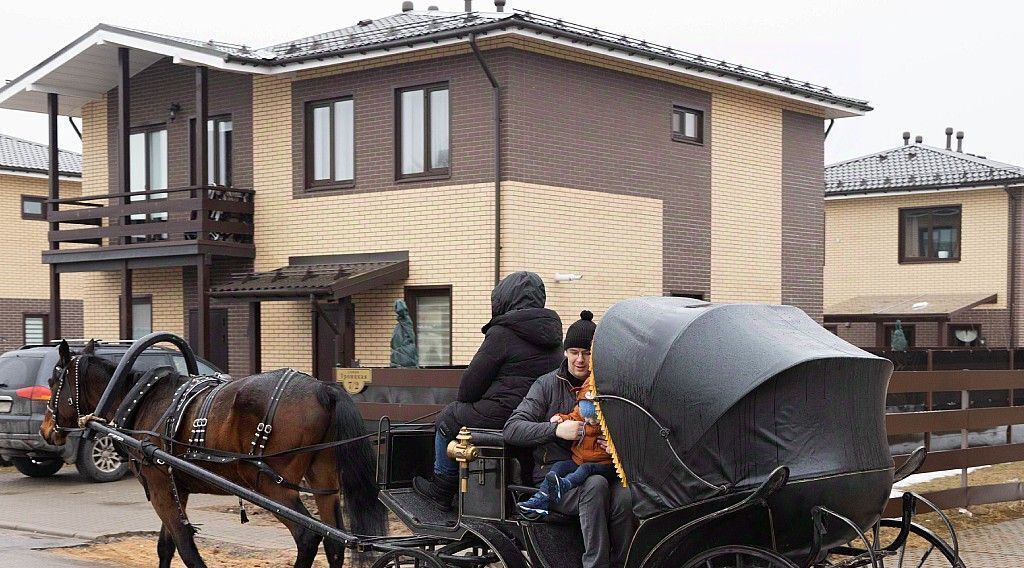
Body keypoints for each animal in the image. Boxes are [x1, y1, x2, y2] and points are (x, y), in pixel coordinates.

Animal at [39, 339, 387, 564]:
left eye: (53, 380)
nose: (46, 430)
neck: (143, 399)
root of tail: (323, 389)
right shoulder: (175, 487)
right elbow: (166, 547)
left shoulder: (160, 486)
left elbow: (185, 546)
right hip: (323, 481)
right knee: (334, 541)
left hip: (271, 485)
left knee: (307, 536)